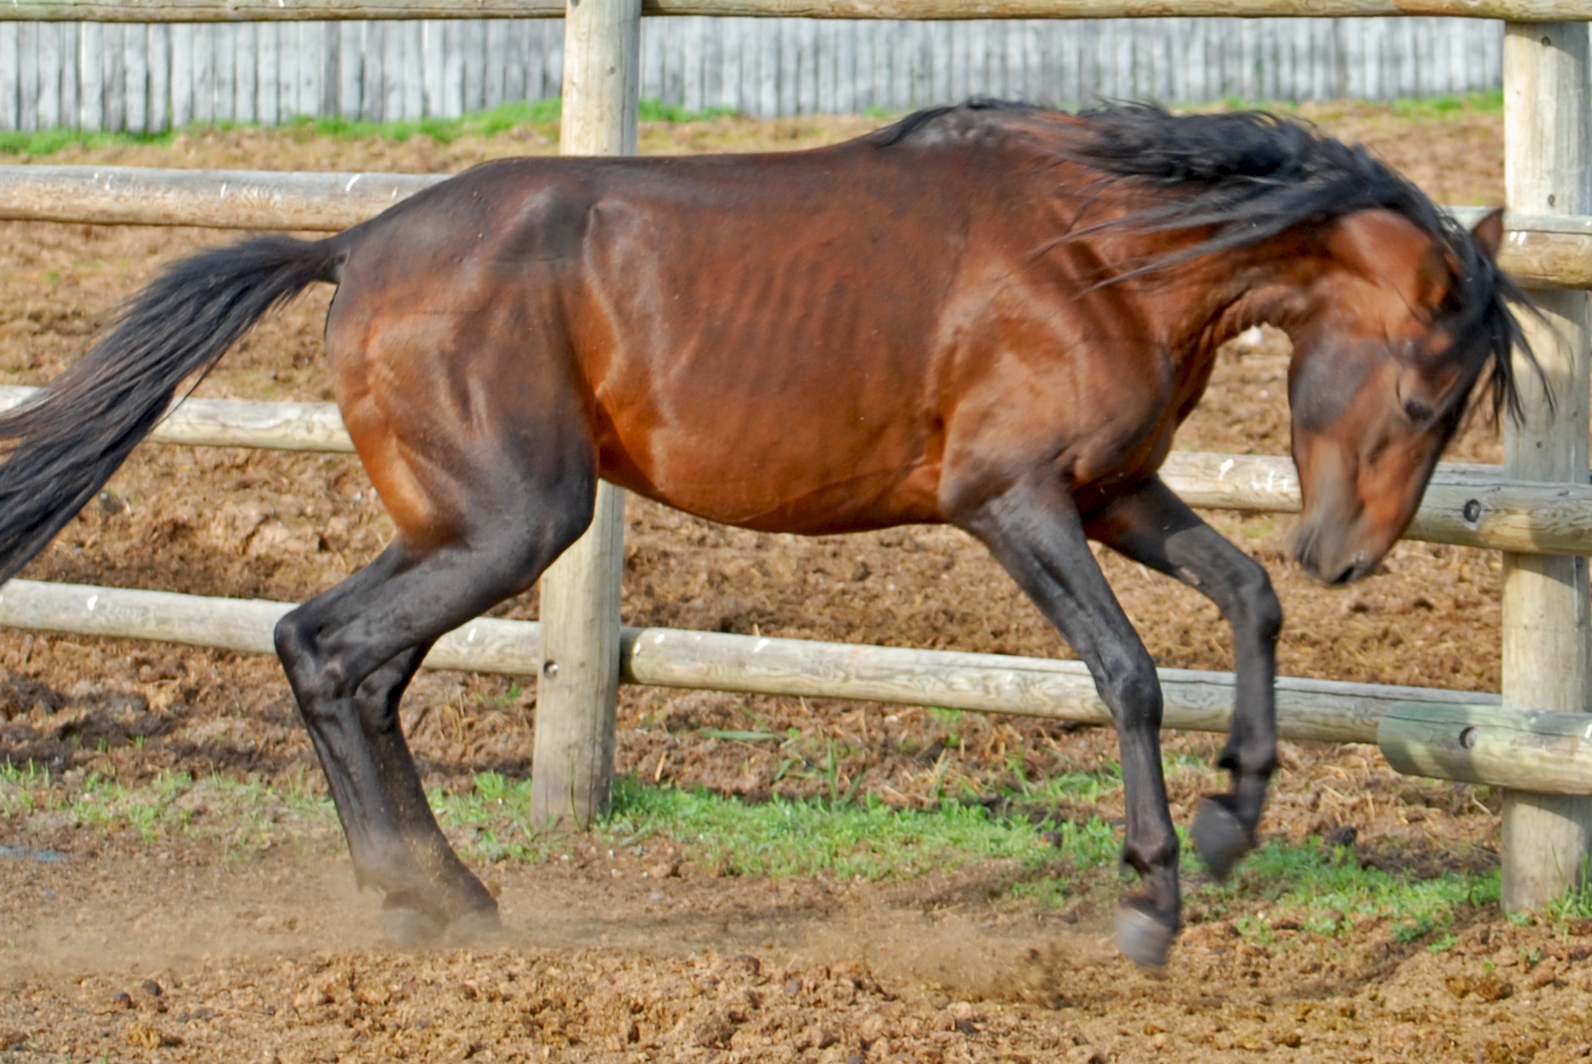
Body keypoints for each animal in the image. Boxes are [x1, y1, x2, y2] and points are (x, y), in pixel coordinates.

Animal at [0, 101, 1530, 967]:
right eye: (1424, 394)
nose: (1349, 557)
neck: (1101, 252)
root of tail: (355, 246)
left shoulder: (1114, 491)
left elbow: (1244, 598)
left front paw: (1229, 823)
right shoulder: (1013, 501)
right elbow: (1130, 672)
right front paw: (1153, 899)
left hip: (462, 525)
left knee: (336, 655)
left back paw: (442, 896)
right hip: (512, 521)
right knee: (330, 650)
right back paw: (422, 894)